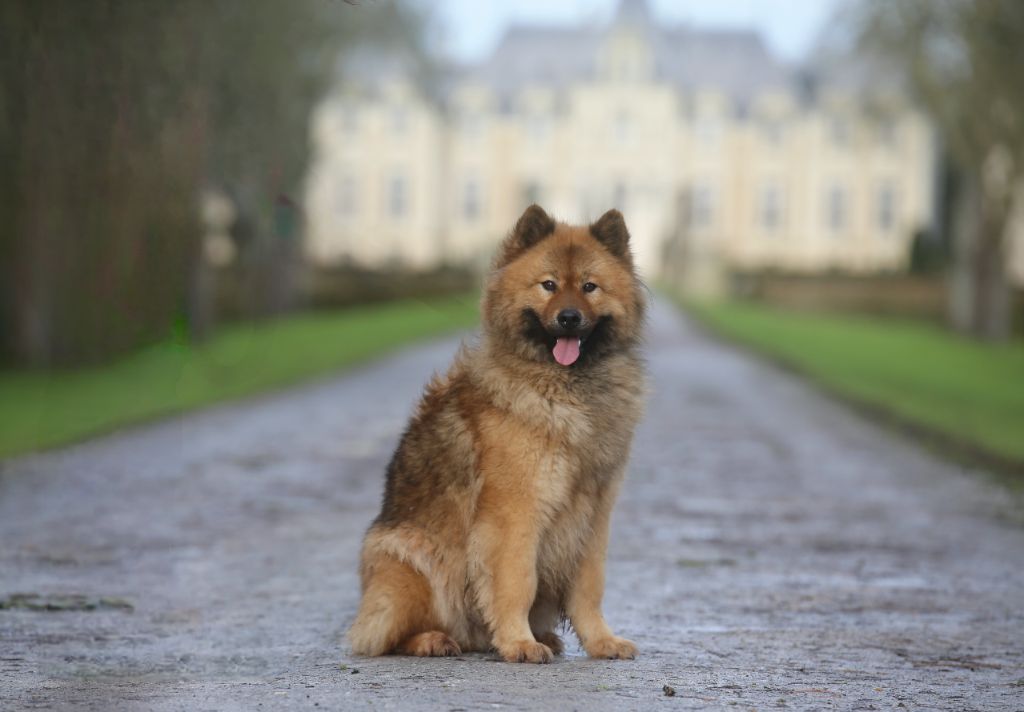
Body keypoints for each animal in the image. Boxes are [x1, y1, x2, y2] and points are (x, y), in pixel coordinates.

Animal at [348, 204, 643, 663]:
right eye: (549, 285)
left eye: (589, 287)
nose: (569, 318)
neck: (565, 390)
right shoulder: (515, 513)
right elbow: (517, 582)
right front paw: (519, 643)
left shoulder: (594, 516)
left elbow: (589, 589)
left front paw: (600, 641)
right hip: (410, 560)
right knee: (385, 635)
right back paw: (434, 640)